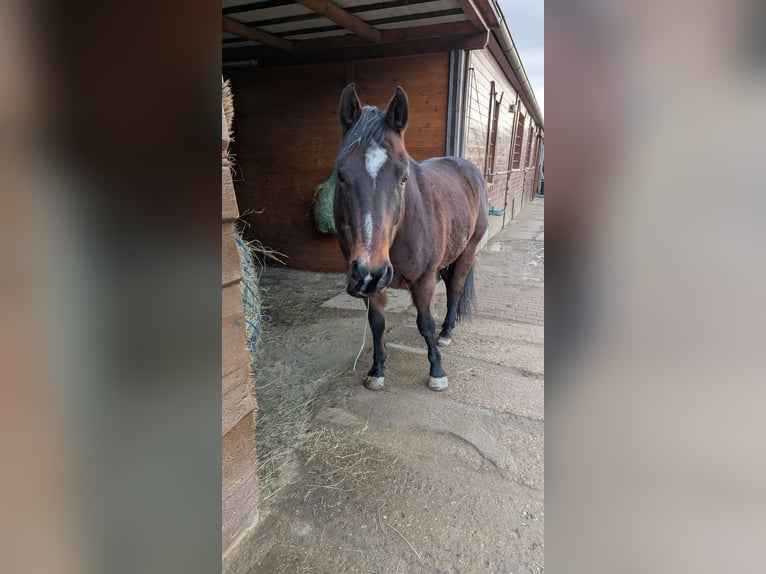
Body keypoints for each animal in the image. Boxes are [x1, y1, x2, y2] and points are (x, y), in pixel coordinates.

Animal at [333, 83, 488, 391]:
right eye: (341, 175)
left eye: (403, 177)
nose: (369, 273)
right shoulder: (373, 286)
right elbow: (377, 323)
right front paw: (377, 370)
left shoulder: (425, 278)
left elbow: (425, 322)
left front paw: (437, 371)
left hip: (467, 251)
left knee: (455, 290)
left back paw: (446, 332)